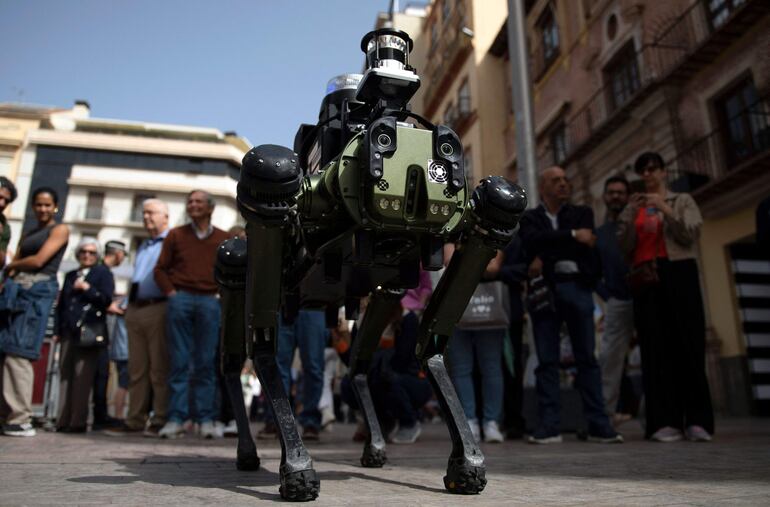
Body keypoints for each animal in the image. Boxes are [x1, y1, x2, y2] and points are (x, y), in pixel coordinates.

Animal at [216, 29, 528, 502]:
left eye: (449, 151)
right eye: (382, 145)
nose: (427, 167)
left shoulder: (466, 230)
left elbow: (431, 343)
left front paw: (467, 462)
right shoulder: (286, 196)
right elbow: (265, 348)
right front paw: (298, 468)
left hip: (385, 288)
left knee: (360, 363)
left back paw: (375, 444)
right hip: (245, 266)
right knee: (239, 348)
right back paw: (248, 452)